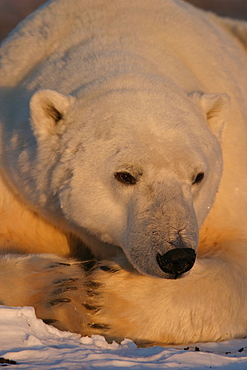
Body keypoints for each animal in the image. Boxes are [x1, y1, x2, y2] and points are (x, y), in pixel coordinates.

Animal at [0, 0, 247, 346]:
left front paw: (102, 298)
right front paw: (58, 284)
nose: (177, 256)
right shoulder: (18, 179)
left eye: (198, 176)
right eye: (126, 175)